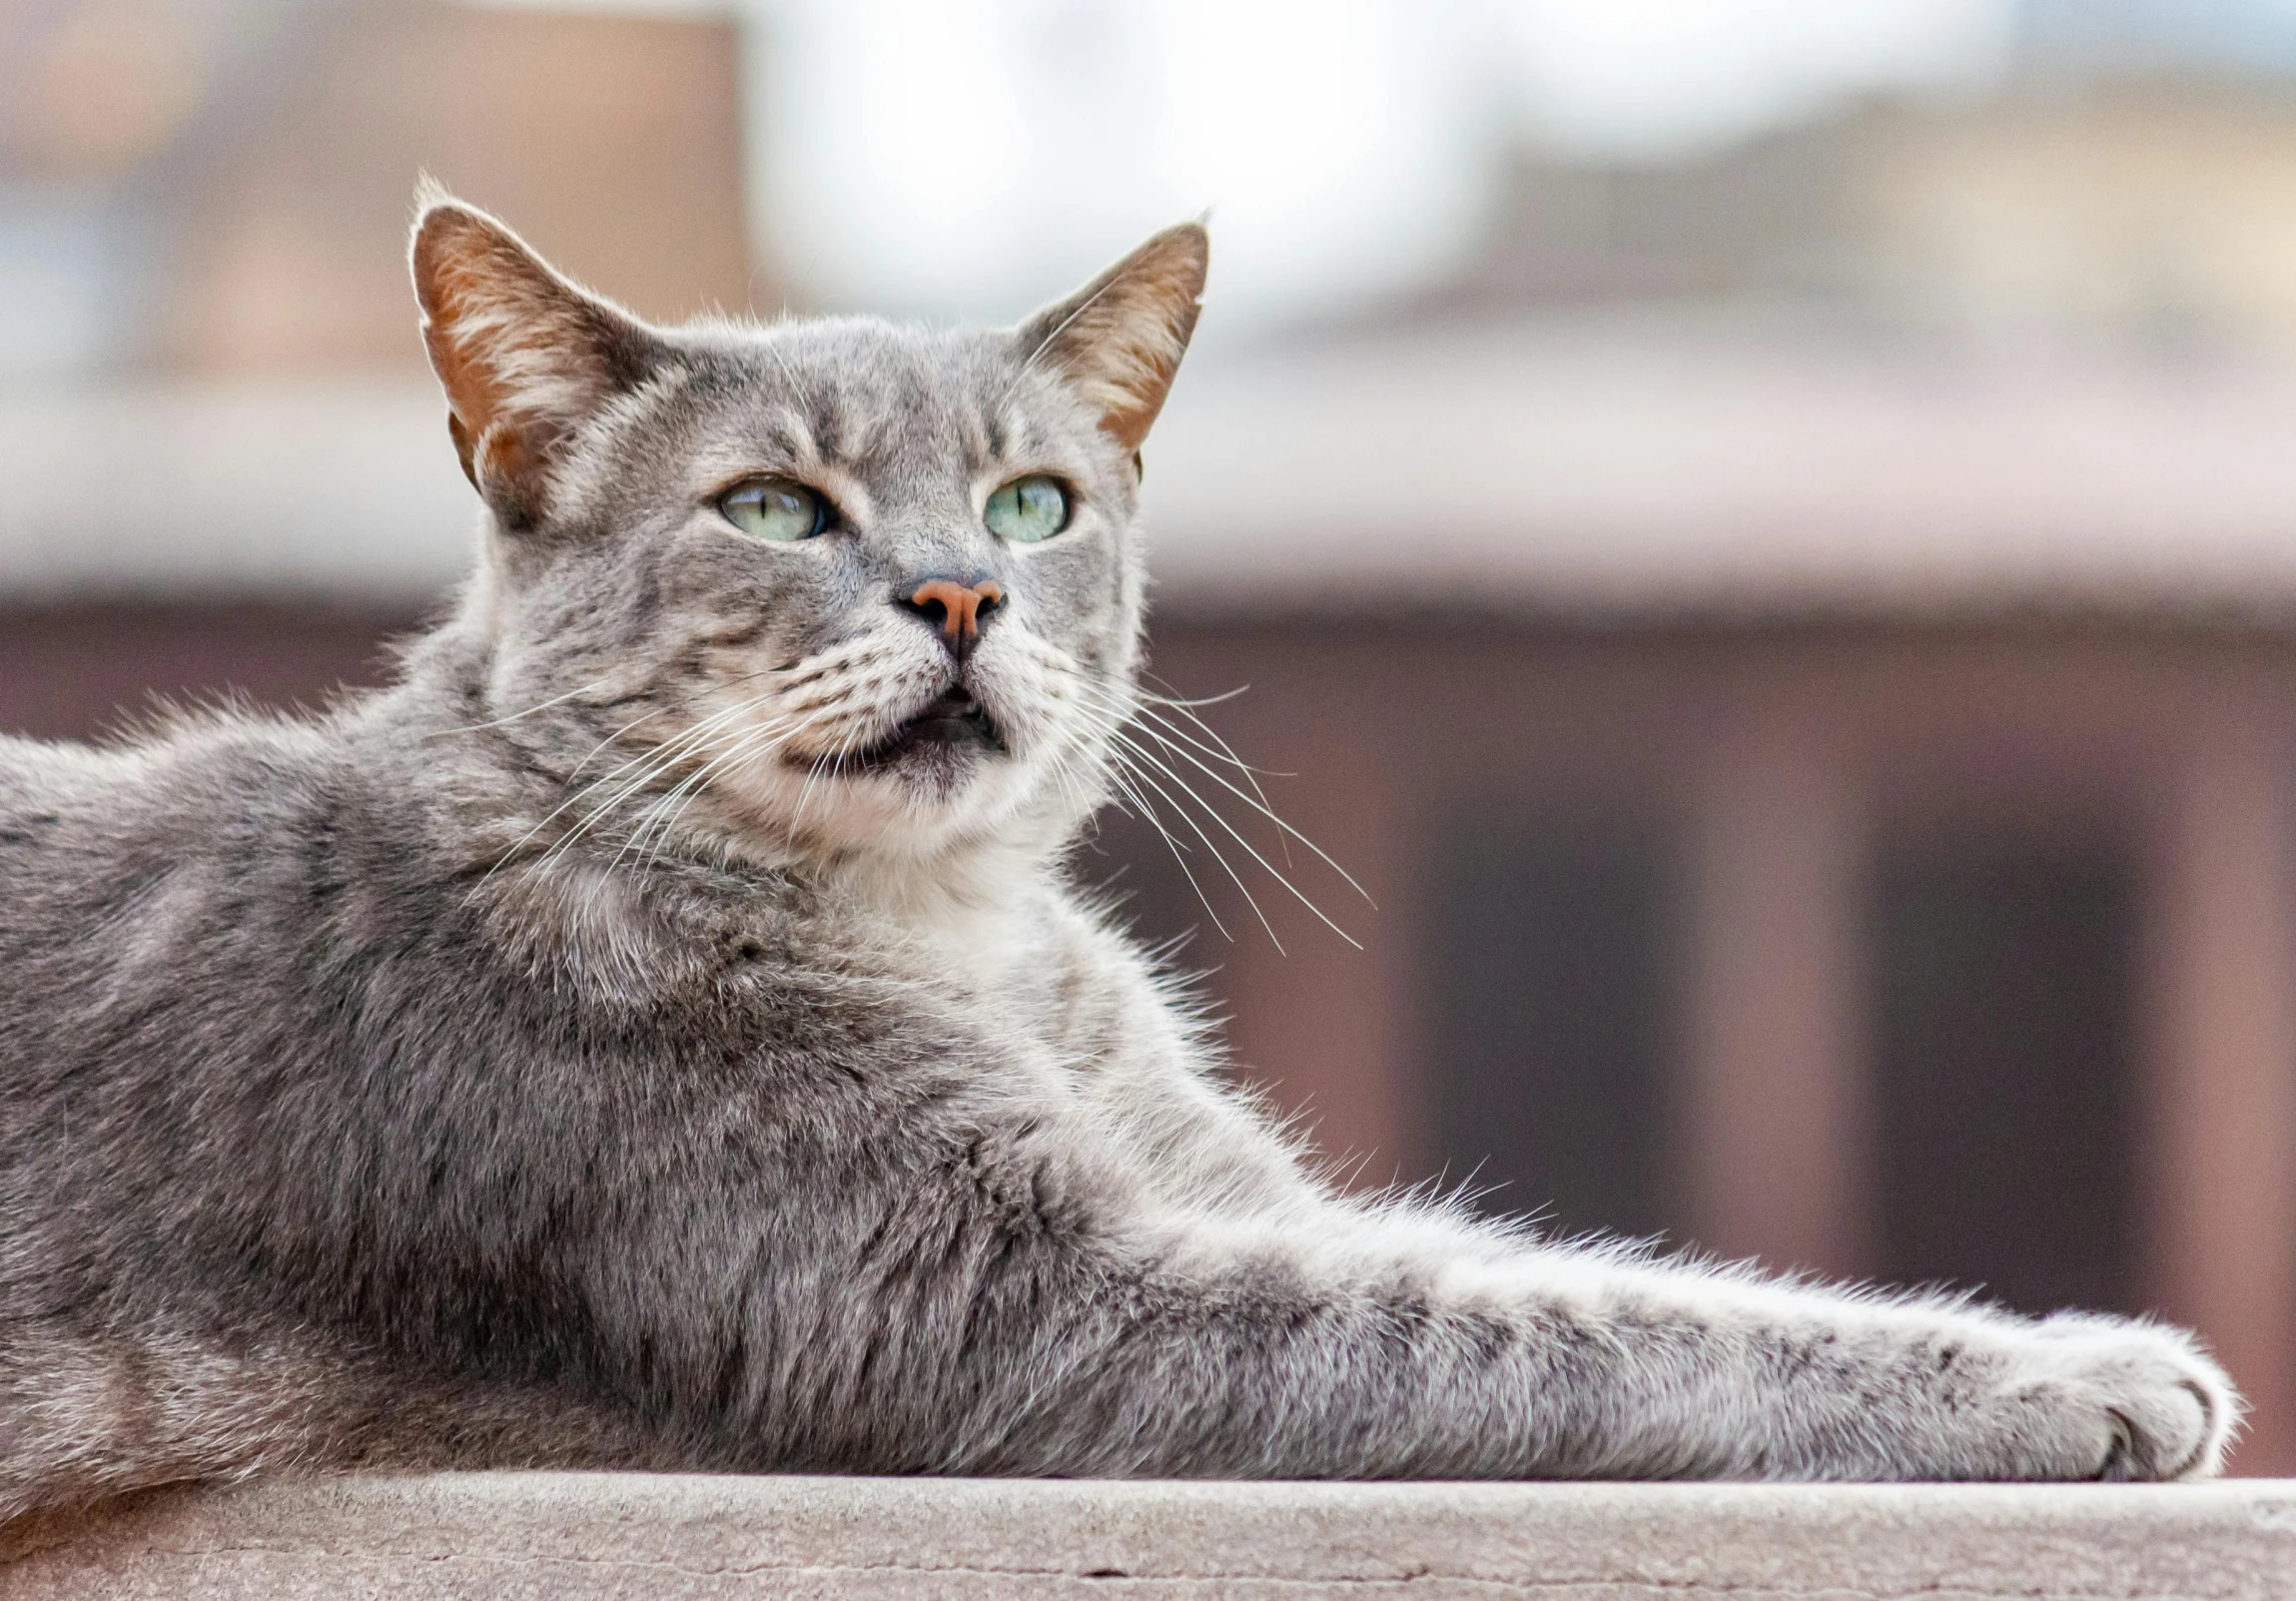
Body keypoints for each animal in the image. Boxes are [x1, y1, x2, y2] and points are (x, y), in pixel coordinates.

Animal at [0, 181, 2231, 1515]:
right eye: (776, 508)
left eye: (1033, 503)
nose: (958, 594)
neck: (956, 927)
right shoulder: (1029, 1299)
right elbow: (1600, 1326)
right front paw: (2079, 1377)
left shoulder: (1221, 1191)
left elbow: (1554, 1265)